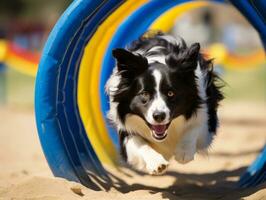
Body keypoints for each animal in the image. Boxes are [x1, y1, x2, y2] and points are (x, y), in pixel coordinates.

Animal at [105, 31, 223, 175]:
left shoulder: (205, 116)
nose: (159, 116)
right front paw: (156, 162)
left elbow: (195, 127)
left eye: (171, 93)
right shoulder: (125, 127)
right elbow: (138, 143)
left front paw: (183, 152)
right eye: (145, 94)